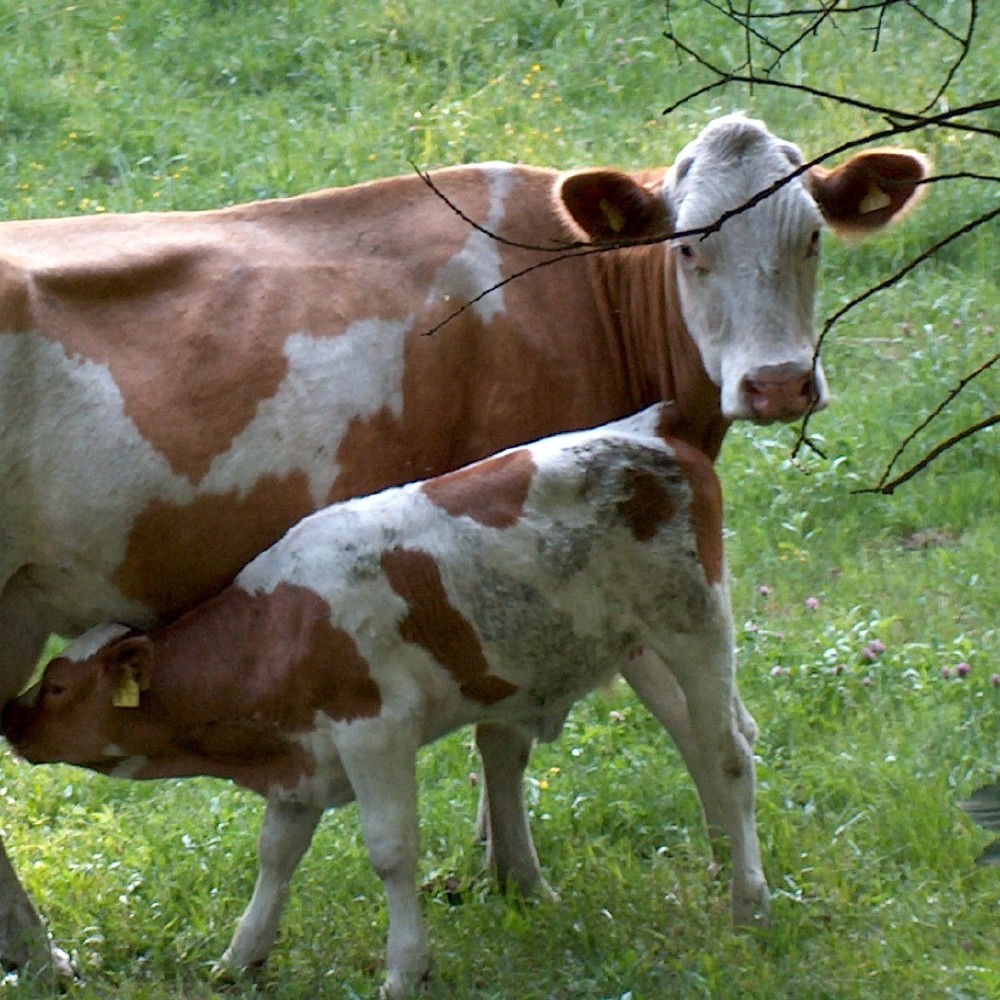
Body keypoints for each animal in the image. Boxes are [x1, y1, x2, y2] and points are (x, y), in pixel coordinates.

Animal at [3, 402, 768, 996]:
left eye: (59, 685)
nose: (8, 716)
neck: (278, 627)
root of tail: (653, 430)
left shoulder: (375, 728)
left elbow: (391, 850)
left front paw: (405, 968)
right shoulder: (303, 757)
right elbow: (276, 854)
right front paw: (240, 957)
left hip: (696, 623)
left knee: (730, 755)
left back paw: (749, 902)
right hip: (638, 644)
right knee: (703, 740)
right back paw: (727, 869)